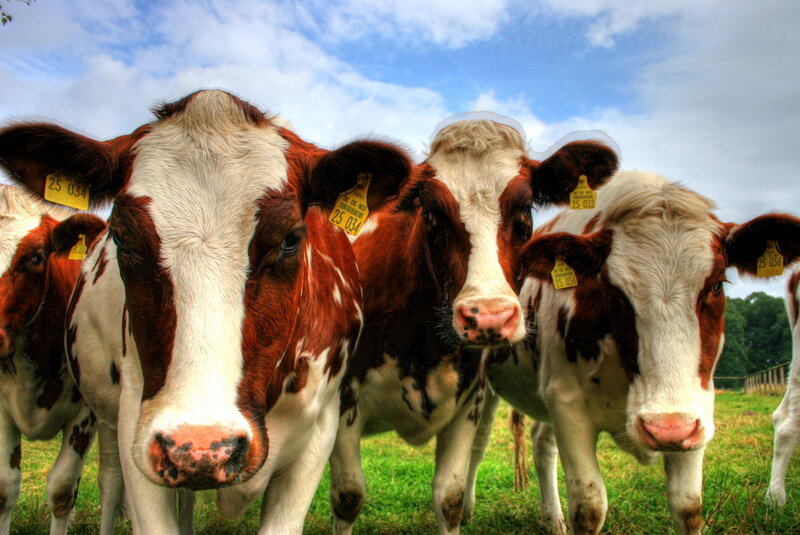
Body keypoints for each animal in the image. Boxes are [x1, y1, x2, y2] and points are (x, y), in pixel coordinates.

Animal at [329, 112, 620, 535]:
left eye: (525, 209)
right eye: (430, 212)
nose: (489, 316)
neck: (423, 345)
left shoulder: (469, 399)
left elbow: (448, 498)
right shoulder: (342, 404)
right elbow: (348, 495)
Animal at [474, 169, 800, 535]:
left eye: (716, 285)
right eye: (612, 293)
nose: (666, 429)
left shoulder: (697, 411)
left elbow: (688, 506)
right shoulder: (568, 406)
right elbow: (589, 508)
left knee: (542, 443)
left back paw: (552, 519)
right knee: (479, 442)